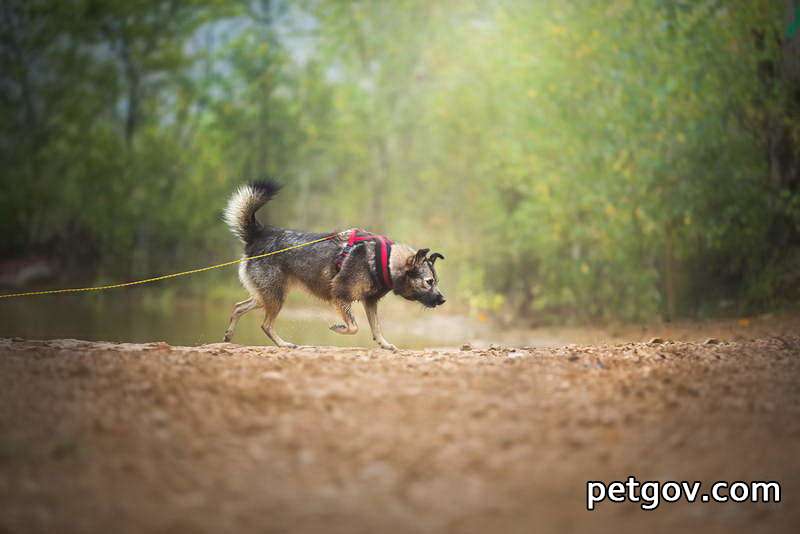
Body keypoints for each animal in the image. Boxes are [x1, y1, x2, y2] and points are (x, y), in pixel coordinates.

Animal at [220, 181, 444, 352]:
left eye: (436, 281)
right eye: (429, 282)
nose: (443, 300)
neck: (385, 261)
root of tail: (259, 233)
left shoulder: (370, 302)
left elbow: (377, 328)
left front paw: (384, 344)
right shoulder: (340, 295)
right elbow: (354, 326)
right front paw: (339, 328)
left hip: (266, 295)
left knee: (238, 307)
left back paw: (229, 335)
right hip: (275, 296)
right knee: (265, 324)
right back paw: (284, 344)